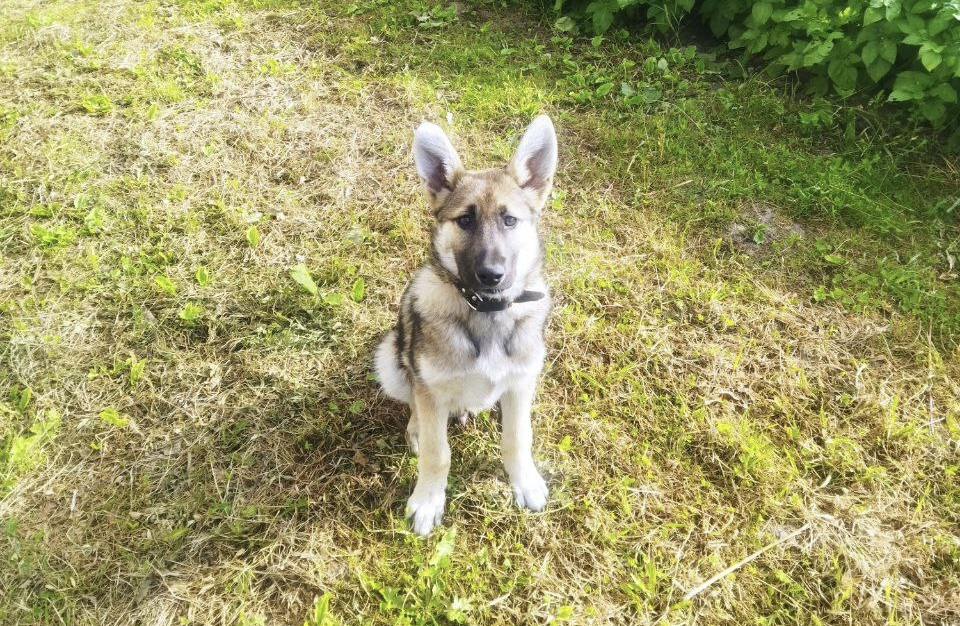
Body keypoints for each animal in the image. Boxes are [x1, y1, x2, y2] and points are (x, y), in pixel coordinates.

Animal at [374, 115, 558, 535]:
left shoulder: (522, 382)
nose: (491, 276)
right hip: (391, 360)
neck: (486, 313)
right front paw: (428, 500)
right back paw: (416, 429)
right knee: (414, 404)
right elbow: (437, 451)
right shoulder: (428, 385)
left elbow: (517, 438)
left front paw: (524, 482)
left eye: (510, 220)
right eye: (465, 220)